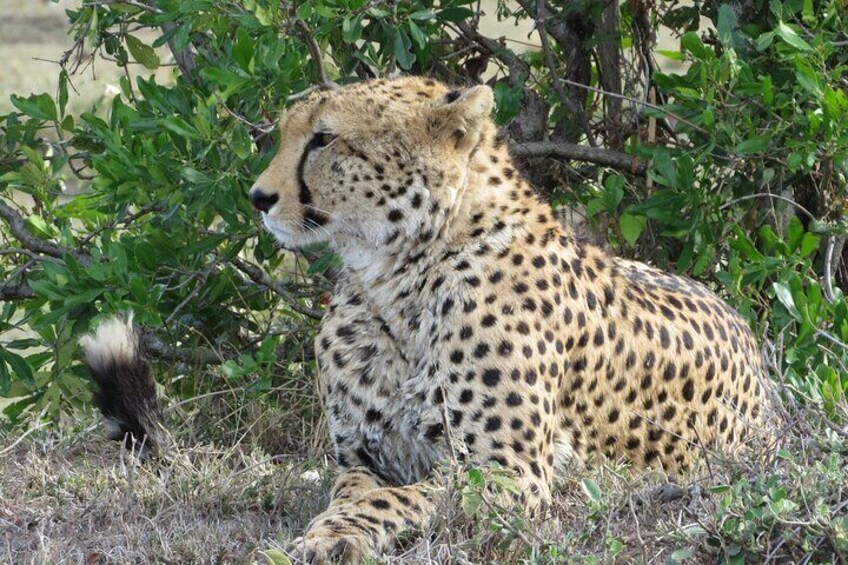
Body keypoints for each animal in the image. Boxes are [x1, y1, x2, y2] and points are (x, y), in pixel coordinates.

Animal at [81, 76, 772, 564]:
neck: (397, 279)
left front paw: (332, 538)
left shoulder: (511, 472)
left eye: (324, 139)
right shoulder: (362, 456)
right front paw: (332, 526)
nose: (258, 198)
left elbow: (405, 496)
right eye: (287, 132)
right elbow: (360, 491)